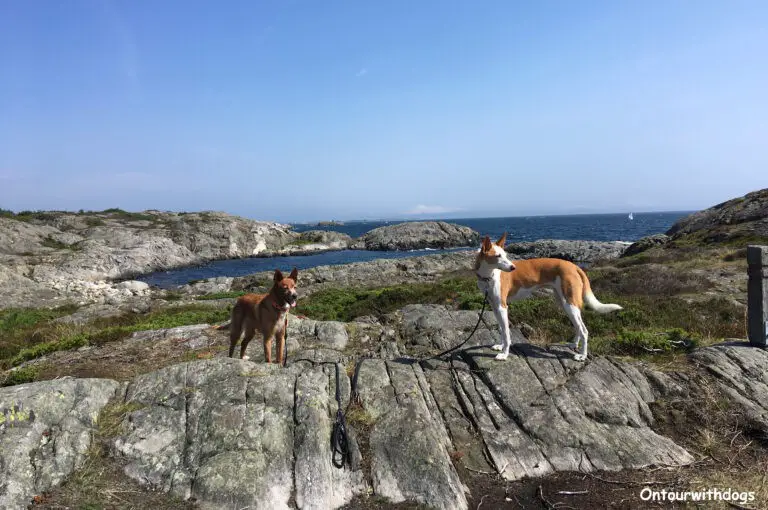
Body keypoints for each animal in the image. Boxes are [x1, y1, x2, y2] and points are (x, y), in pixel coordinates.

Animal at [474, 233, 624, 360]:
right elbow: (501, 328)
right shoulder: (495, 306)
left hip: (570, 304)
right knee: (578, 326)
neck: (489, 276)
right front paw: (500, 346)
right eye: (498, 256)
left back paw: (582, 355)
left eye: (505, 255)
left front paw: (504, 354)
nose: (513, 268)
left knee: (584, 330)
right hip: (565, 303)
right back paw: (574, 344)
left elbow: (506, 332)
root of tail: (574, 266)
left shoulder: (502, 307)